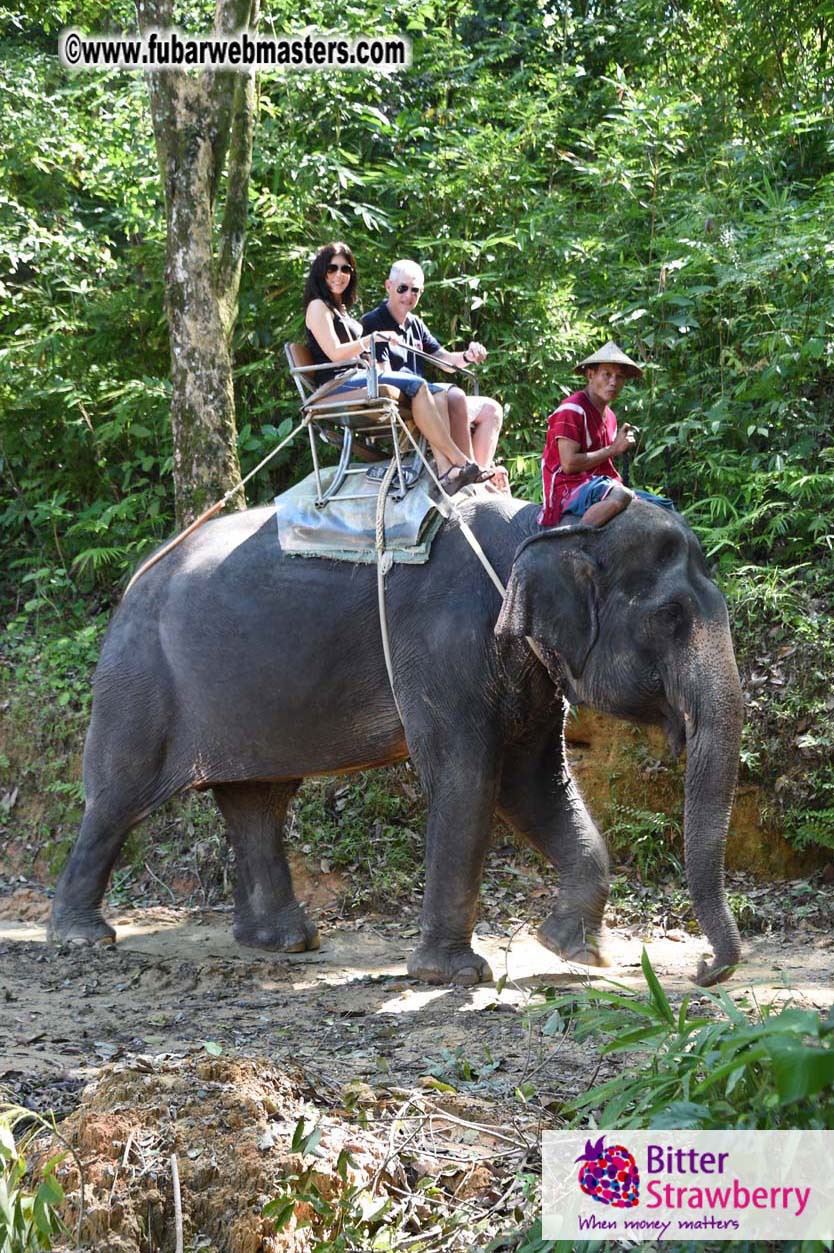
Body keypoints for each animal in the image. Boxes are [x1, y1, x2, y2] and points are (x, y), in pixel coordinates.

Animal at [49, 494, 744, 987]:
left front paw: (578, 951)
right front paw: (454, 976)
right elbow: (469, 778)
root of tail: (136, 576)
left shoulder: (526, 668)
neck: (544, 526)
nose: (705, 972)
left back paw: (284, 942)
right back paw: (83, 938)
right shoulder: (444, 646)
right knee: (118, 797)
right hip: (139, 679)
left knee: (258, 801)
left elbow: (535, 785)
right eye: (671, 617)